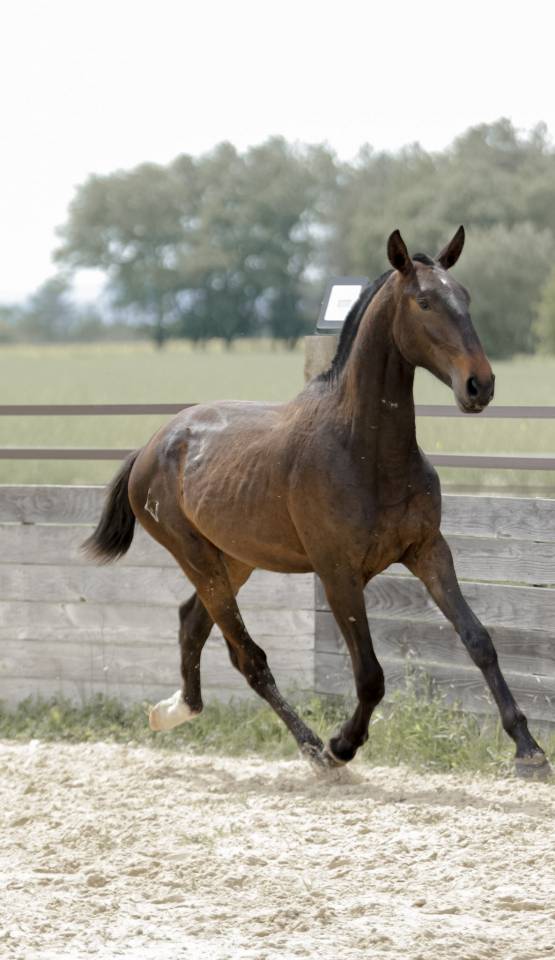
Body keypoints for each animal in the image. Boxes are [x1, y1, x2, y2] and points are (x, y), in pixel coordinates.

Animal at [84, 227, 550, 778]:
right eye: (424, 302)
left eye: (467, 297)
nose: (480, 385)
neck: (364, 452)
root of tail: (153, 446)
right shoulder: (338, 573)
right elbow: (370, 674)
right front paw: (343, 744)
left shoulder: (428, 551)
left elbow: (479, 641)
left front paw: (528, 748)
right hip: (196, 556)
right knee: (249, 657)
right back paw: (310, 748)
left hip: (235, 559)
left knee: (193, 623)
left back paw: (176, 710)